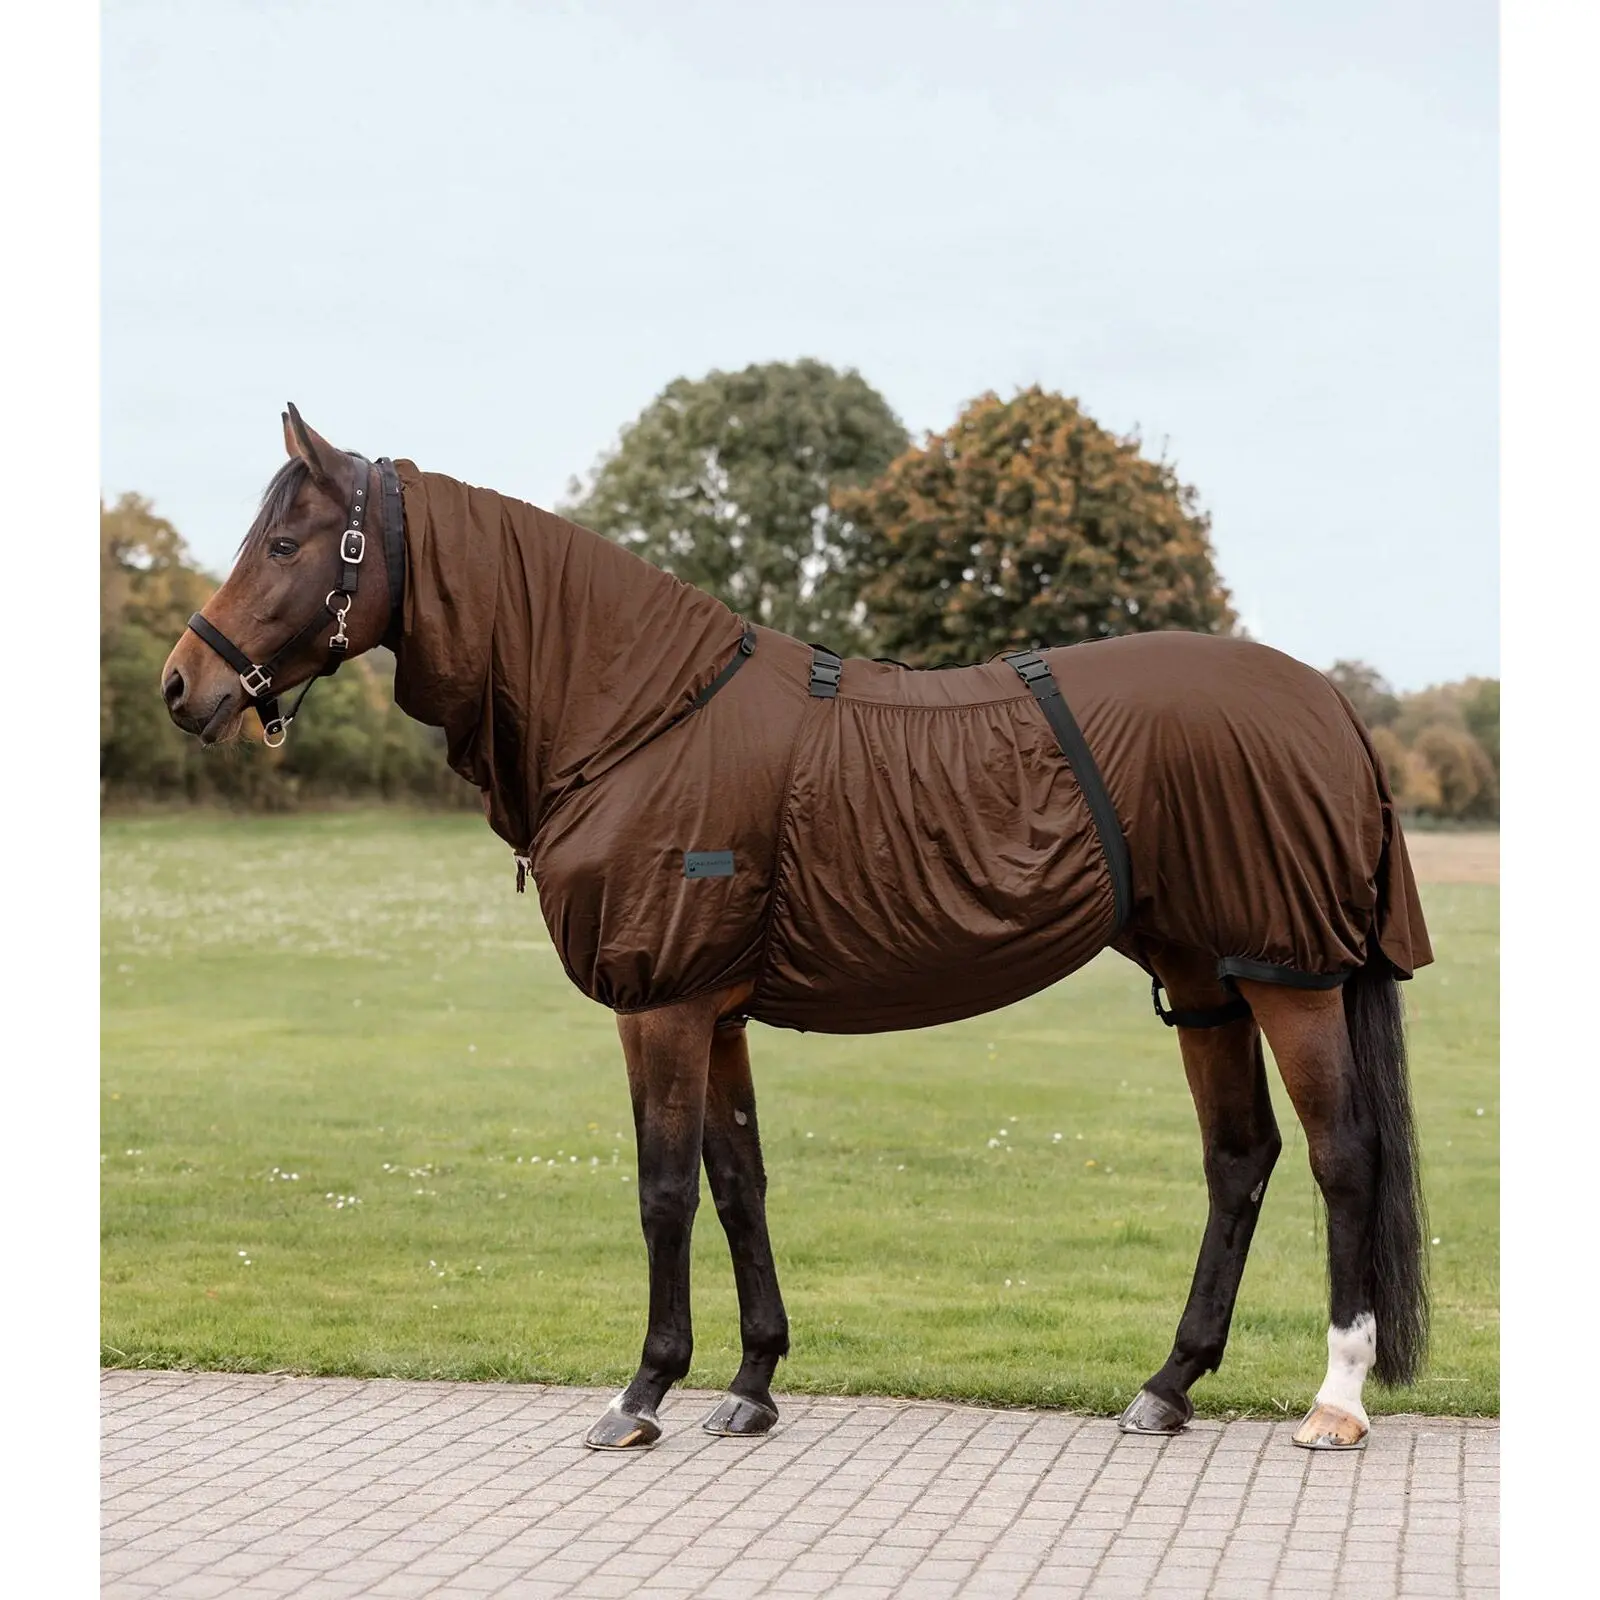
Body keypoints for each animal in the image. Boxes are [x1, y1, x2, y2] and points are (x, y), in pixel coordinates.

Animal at [161, 404, 1430, 1454]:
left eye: (287, 545)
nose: (181, 686)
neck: (639, 713)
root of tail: (1328, 702)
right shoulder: (713, 1010)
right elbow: (738, 1182)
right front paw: (751, 1384)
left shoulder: (661, 1003)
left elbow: (663, 1188)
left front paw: (641, 1392)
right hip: (1205, 980)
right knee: (1239, 1159)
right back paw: (1166, 1386)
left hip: (1289, 976)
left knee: (1341, 1157)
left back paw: (1334, 1400)